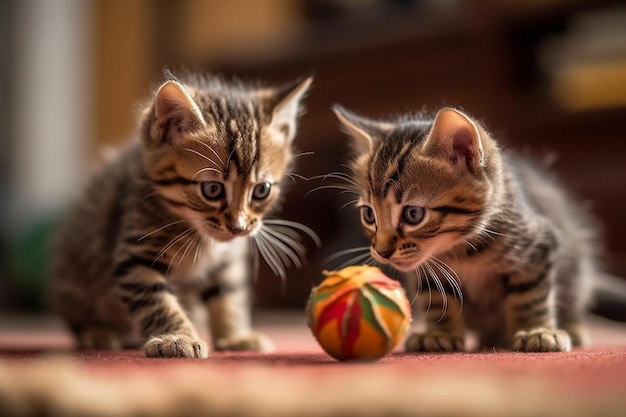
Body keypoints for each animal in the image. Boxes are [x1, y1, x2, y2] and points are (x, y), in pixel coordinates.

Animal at [50, 71, 312, 358]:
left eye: (262, 190)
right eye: (212, 189)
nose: (239, 227)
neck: (197, 234)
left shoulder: (227, 260)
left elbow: (228, 295)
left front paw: (234, 336)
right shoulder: (135, 255)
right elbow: (158, 301)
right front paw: (178, 338)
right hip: (74, 276)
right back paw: (96, 332)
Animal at [334, 105, 616, 352]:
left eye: (413, 214)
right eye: (369, 215)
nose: (381, 252)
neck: (461, 250)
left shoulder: (538, 244)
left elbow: (531, 297)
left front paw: (537, 331)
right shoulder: (427, 271)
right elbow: (438, 300)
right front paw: (439, 334)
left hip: (576, 269)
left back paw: (573, 329)